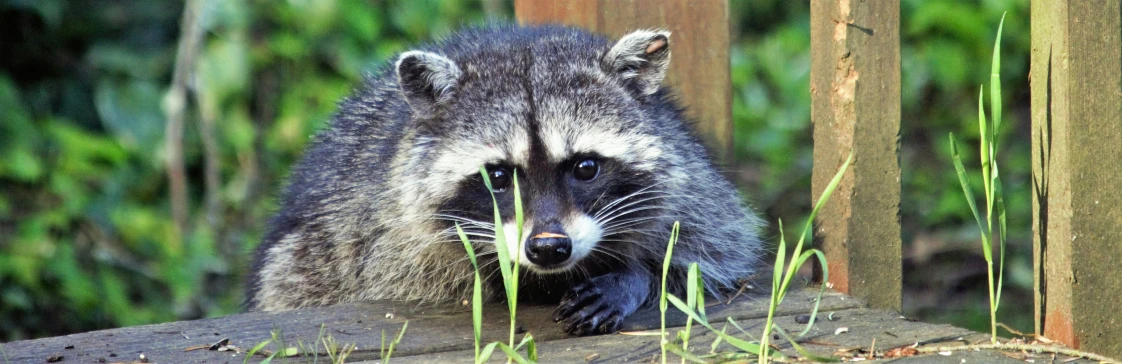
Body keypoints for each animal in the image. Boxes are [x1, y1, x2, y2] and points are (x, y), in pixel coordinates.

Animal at [250, 24, 767, 334]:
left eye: (585, 168)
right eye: (497, 176)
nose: (549, 249)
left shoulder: (691, 185)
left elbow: (713, 255)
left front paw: (635, 276)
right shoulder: (387, 232)